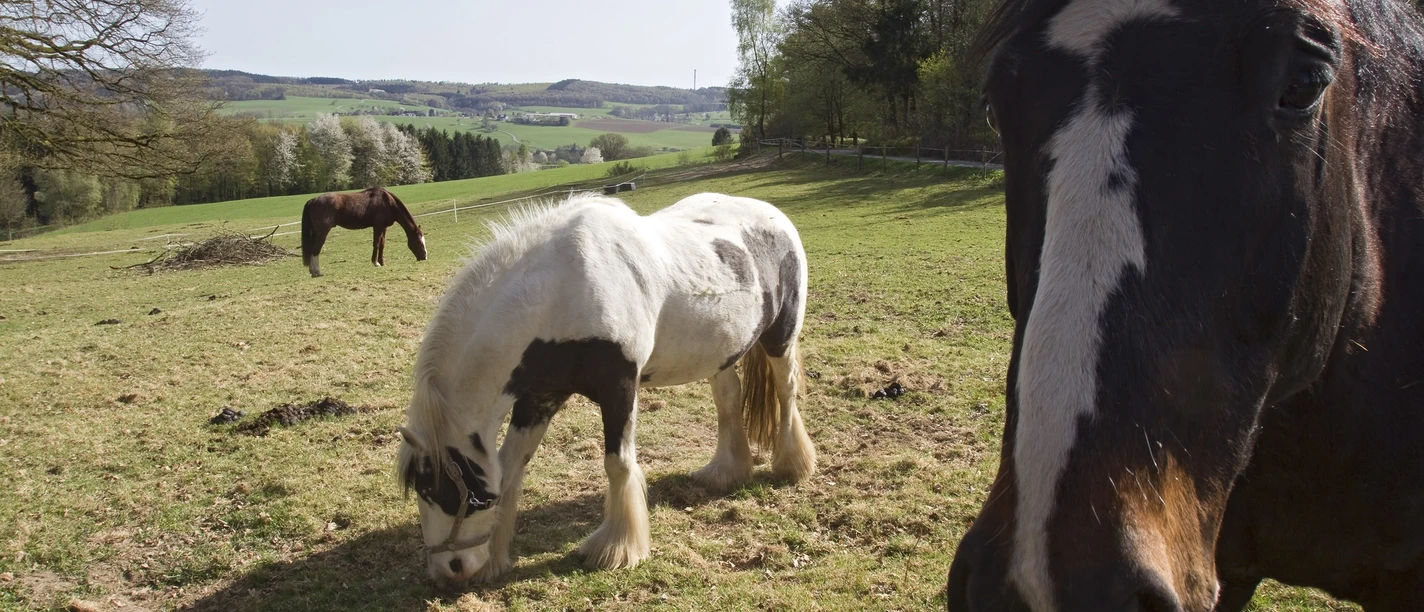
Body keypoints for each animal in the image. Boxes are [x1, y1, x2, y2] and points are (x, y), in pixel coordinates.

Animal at [394, 192, 818, 586]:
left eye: (440, 489)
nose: (450, 570)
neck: (561, 291)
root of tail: (775, 216)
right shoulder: (538, 398)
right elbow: (510, 467)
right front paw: (496, 557)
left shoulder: (619, 388)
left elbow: (618, 463)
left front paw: (616, 548)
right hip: (722, 354)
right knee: (729, 401)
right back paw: (726, 472)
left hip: (780, 338)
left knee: (786, 392)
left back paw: (792, 464)